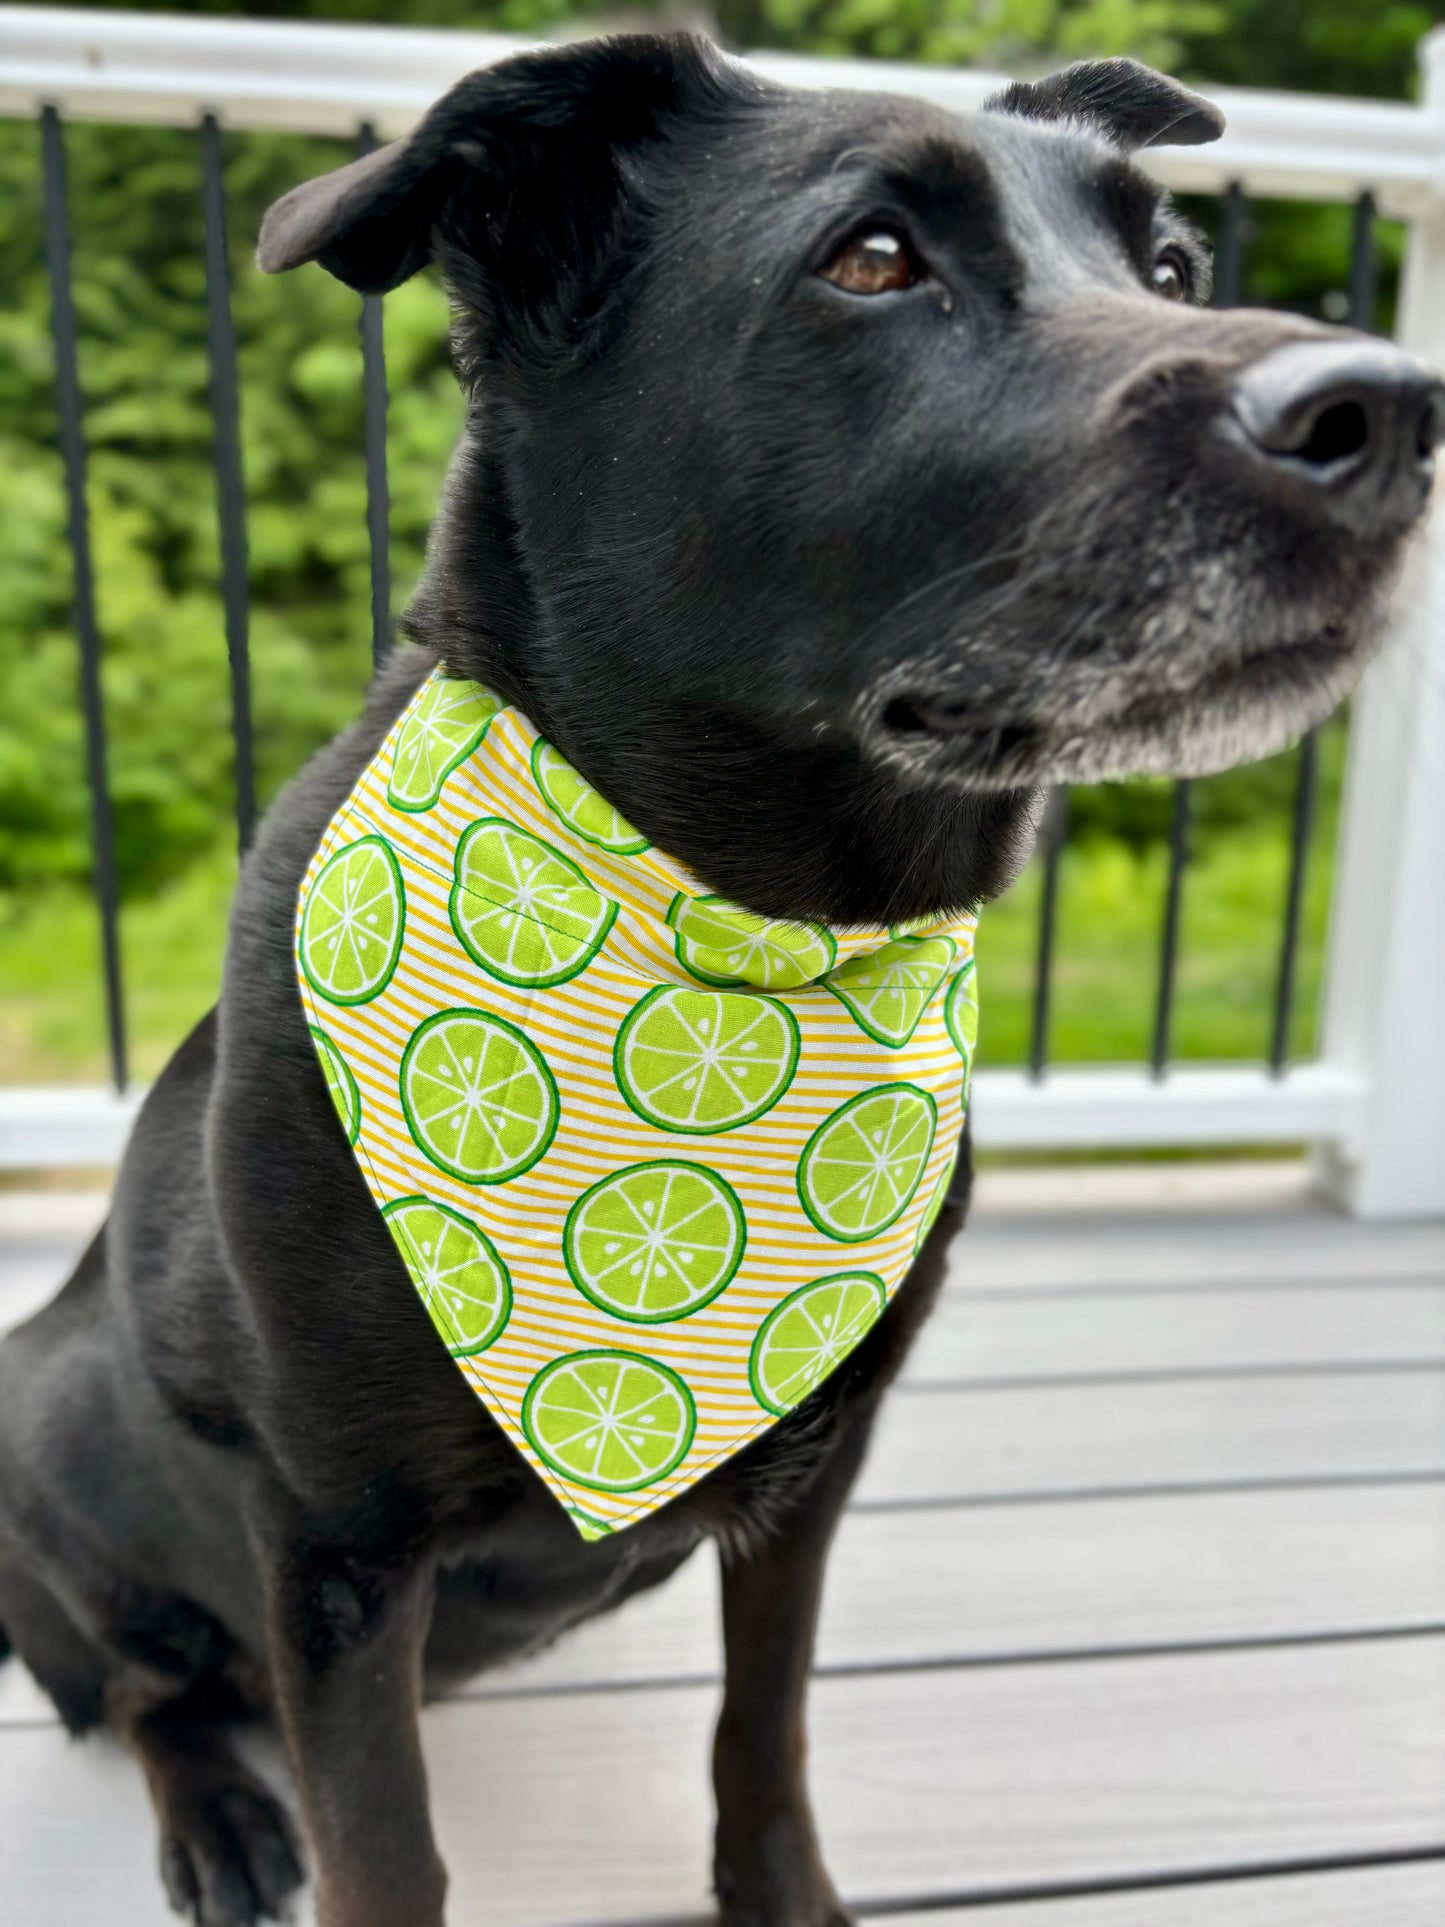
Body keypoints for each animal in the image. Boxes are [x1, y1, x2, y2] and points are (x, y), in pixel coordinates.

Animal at [2, 33, 1445, 1927]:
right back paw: (221, 1818)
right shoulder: (334, 1549)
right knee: (141, 1687)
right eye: (873, 259)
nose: (1397, 414)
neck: (748, 952)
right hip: (55, 1463)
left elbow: (764, 1725)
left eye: (1173, 268)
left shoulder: (815, 1477)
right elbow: (385, 1847)